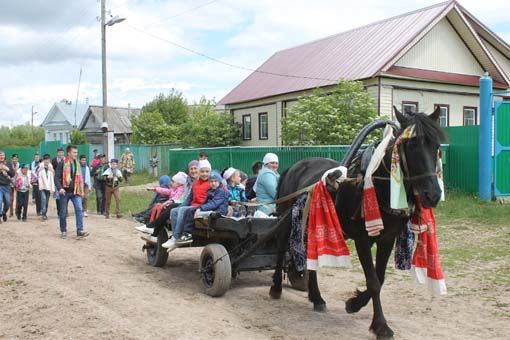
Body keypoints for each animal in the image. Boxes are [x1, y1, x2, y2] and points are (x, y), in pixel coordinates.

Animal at [268, 105, 444, 338]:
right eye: (410, 145)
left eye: (436, 145)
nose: (432, 195)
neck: (378, 186)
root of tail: (294, 166)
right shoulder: (362, 239)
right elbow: (374, 281)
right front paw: (381, 325)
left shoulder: (387, 239)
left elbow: (380, 278)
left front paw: (355, 303)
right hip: (287, 219)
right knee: (280, 248)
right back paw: (276, 287)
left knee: (311, 259)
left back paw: (316, 297)